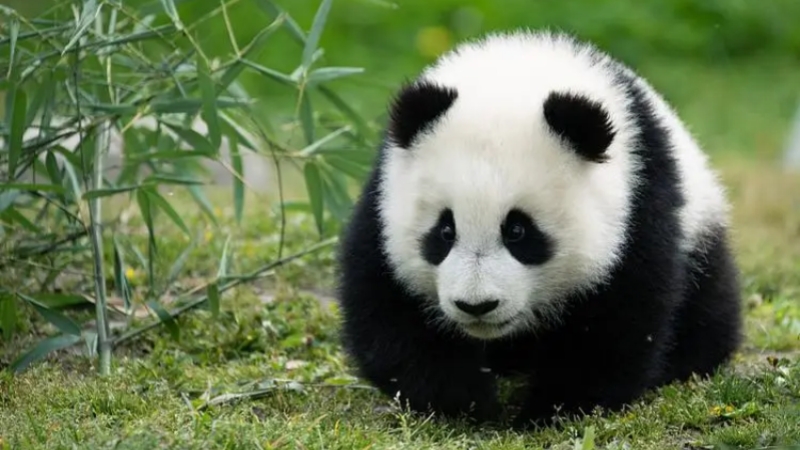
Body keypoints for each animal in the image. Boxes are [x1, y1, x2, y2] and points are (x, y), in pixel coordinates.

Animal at [335, 30, 743, 428]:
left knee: (709, 305)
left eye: (518, 232)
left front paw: (549, 410)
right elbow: (387, 309)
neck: (521, 71)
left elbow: (617, 318)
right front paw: (467, 404)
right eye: (445, 231)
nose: (477, 305)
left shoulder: (638, 199)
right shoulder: (383, 198)